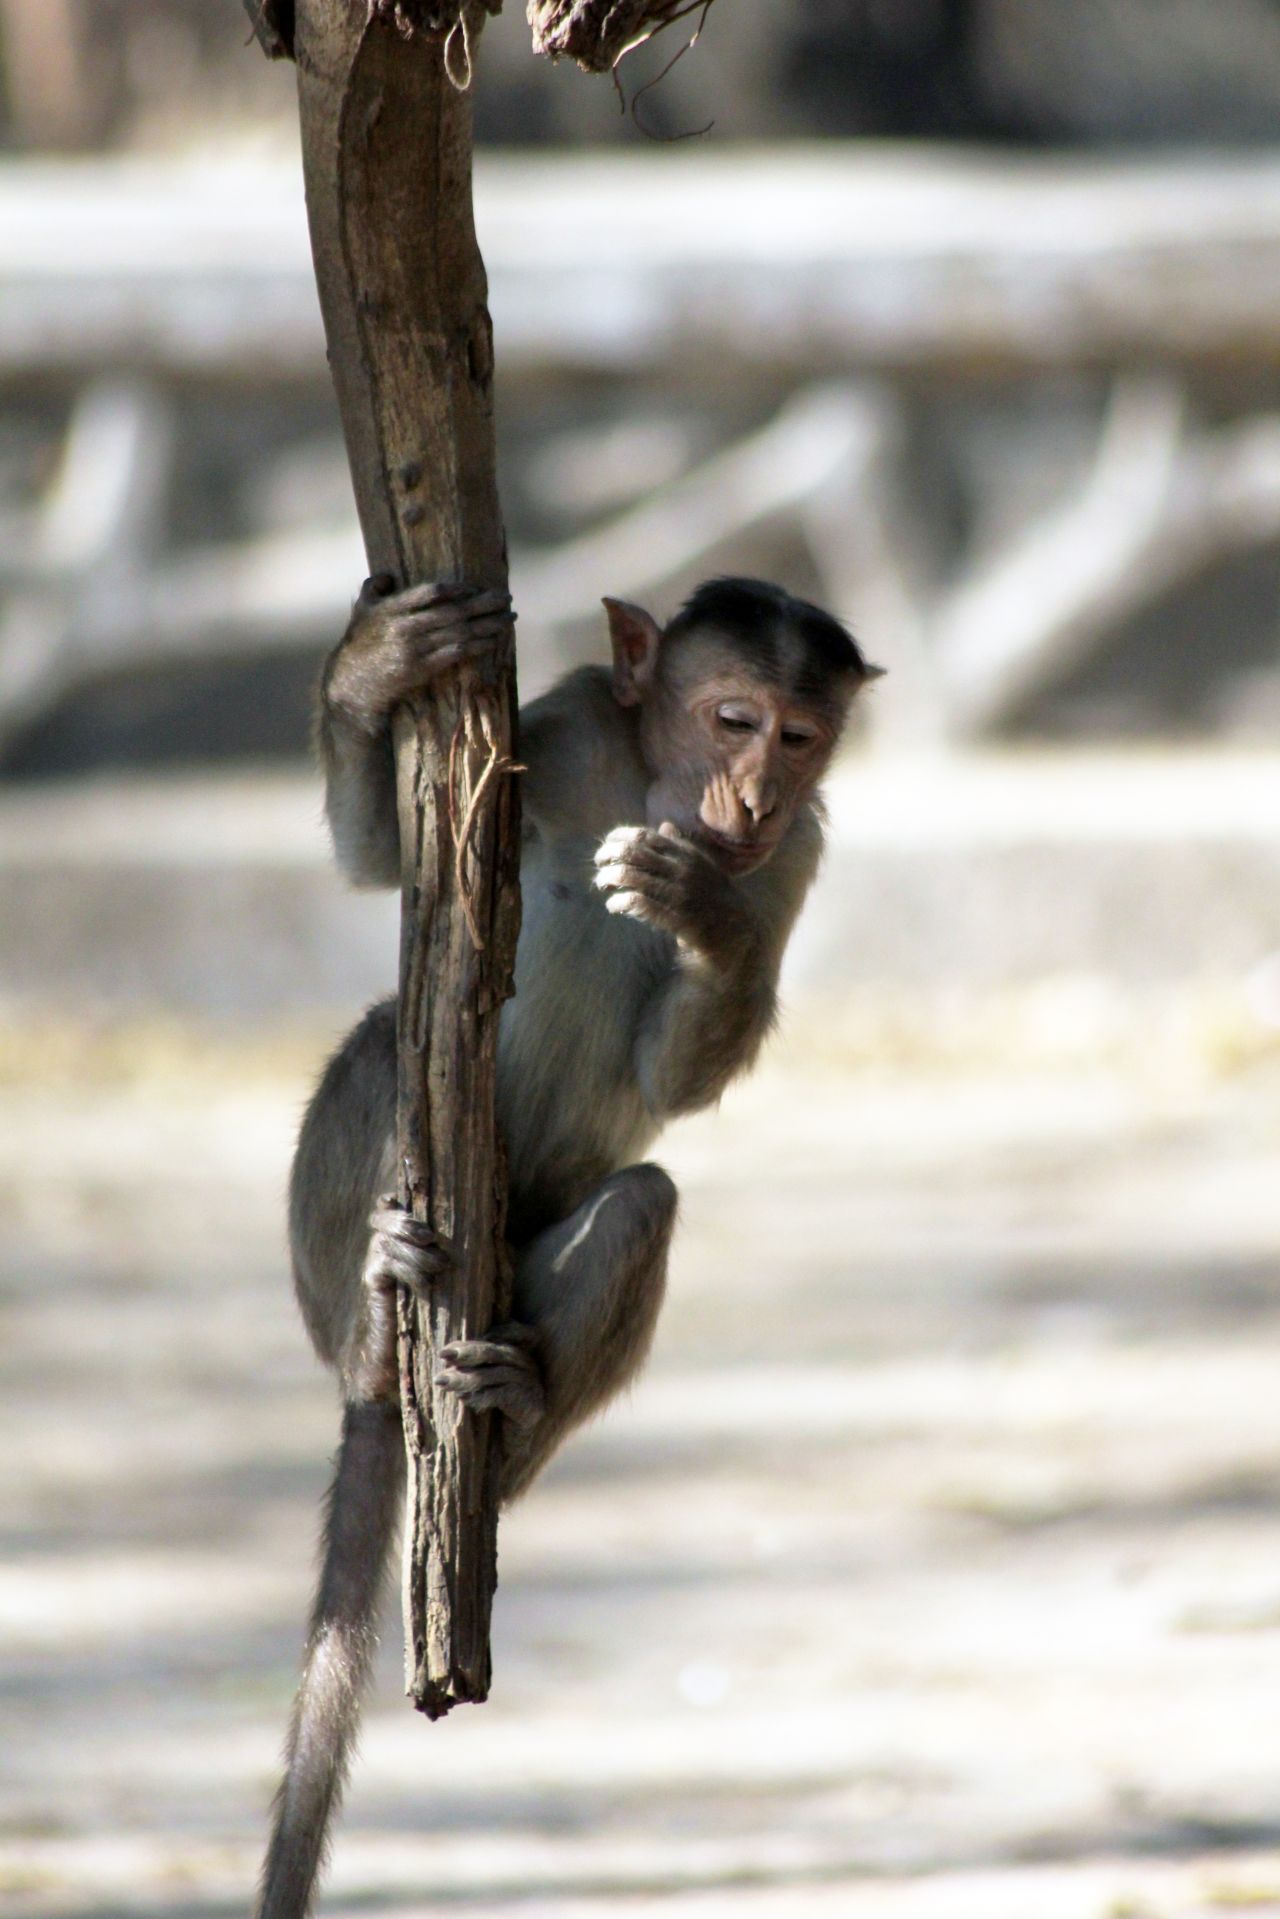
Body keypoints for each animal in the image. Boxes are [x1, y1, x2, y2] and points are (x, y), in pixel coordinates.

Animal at [259, 571, 882, 1919]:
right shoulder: (560, 723)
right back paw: (371, 1318)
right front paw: (374, 664)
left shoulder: (799, 854)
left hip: (515, 1269)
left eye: (799, 738)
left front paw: (705, 914)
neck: (649, 781)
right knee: (385, 1043)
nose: (752, 797)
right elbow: (385, 855)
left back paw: (510, 1416)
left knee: (640, 1198)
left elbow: (674, 1073)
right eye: (733, 718)